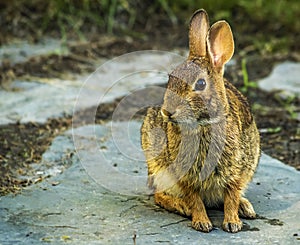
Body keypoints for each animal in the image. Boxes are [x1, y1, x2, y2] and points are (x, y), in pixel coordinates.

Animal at [141, 8, 260, 233]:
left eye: (201, 84)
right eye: (170, 79)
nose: (167, 112)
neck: (204, 124)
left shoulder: (236, 171)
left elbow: (231, 196)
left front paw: (232, 223)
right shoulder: (184, 176)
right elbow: (194, 199)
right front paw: (202, 222)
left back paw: (245, 207)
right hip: (159, 169)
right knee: (159, 196)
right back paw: (182, 206)